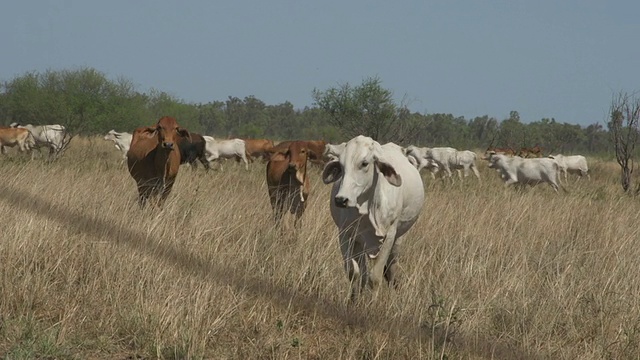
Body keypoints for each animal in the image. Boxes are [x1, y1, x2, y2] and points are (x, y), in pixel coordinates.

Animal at [320, 135, 424, 300]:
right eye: (341, 166)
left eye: (364, 163)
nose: (341, 200)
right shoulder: (345, 235)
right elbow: (353, 272)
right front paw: (354, 300)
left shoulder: (389, 237)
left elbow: (375, 278)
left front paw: (372, 303)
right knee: (363, 272)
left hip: (398, 240)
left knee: (391, 269)